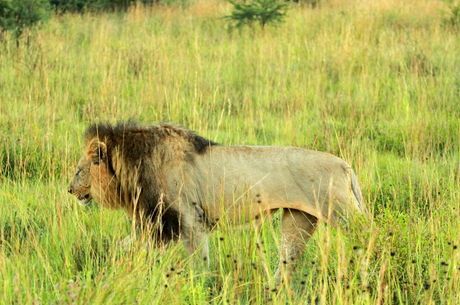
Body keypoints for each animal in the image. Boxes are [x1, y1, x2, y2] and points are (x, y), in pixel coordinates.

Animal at [68, 120, 366, 280]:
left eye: (79, 170)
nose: (70, 190)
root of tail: (345, 165)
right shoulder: (156, 224)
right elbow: (124, 247)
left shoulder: (188, 220)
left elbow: (200, 262)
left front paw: (201, 286)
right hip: (299, 220)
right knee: (288, 260)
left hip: (344, 215)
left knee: (369, 236)